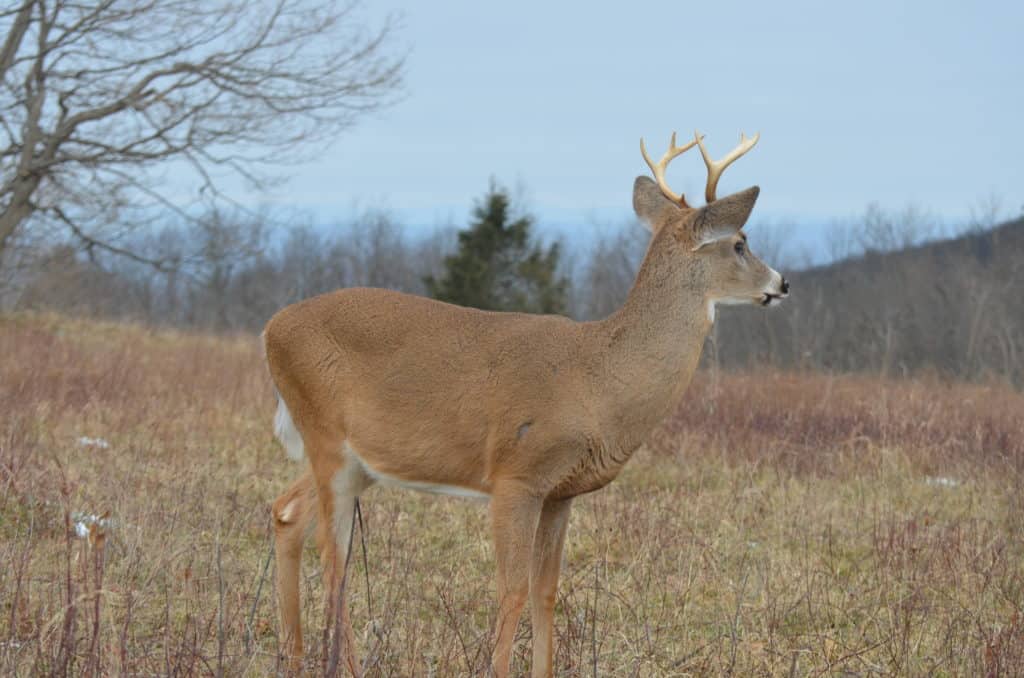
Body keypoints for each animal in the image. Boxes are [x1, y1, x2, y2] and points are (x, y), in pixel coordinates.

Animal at [262, 130, 782, 675]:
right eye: (741, 243)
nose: (782, 283)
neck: (597, 382)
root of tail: (271, 329)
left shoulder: (560, 492)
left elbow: (545, 593)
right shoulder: (517, 475)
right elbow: (510, 591)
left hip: (358, 459)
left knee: (287, 513)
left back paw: (291, 654)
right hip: (325, 436)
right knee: (333, 559)